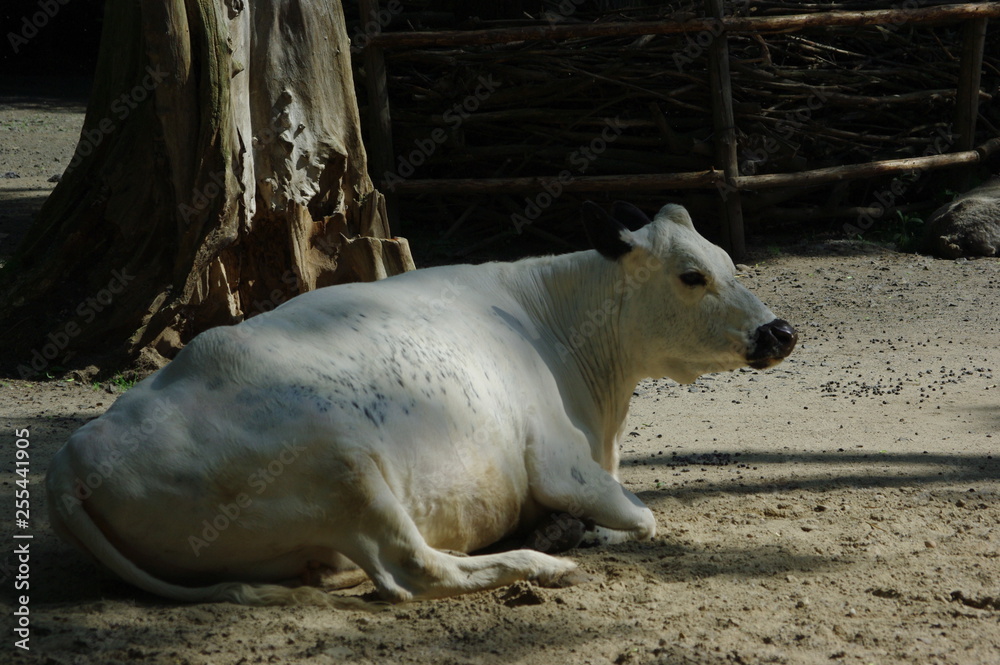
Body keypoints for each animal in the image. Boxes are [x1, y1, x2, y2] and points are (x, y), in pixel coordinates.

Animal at [46, 201, 796, 607]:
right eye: (691, 276)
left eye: (728, 260)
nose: (780, 331)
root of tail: (73, 453)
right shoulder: (561, 462)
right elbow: (640, 516)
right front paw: (578, 532)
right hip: (344, 466)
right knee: (414, 570)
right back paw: (542, 562)